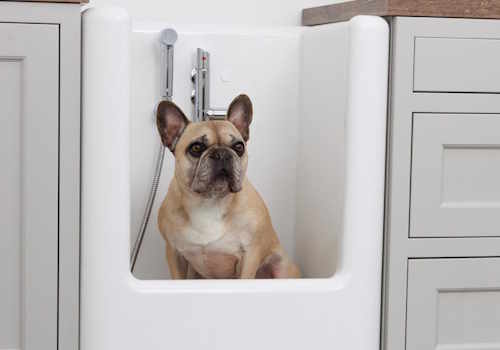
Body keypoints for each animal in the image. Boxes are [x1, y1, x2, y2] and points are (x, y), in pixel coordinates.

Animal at [156, 95, 298, 278]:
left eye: (239, 147)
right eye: (196, 148)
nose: (222, 154)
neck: (209, 202)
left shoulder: (250, 255)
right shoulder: (174, 253)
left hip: (281, 267)